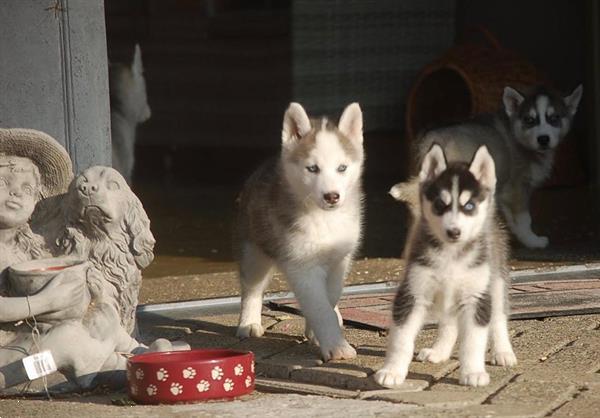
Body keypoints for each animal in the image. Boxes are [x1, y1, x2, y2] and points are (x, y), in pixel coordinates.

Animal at [376, 145, 516, 388]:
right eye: (440, 205)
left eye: (469, 206)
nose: (454, 232)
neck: (451, 255)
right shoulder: (413, 292)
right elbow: (401, 339)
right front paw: (392, 371)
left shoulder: (476, 297)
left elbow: (473, 341)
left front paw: (473, 372)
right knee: (449, 323)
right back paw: (439, 351)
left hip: (496, 281)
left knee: (498, 317)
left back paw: (503, 352)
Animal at [406, 85, 580, 248]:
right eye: (529, 120)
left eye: (554, 118)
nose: (543, 139)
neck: (518, 138)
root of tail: (428, 139)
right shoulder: (517, 189)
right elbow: (525, 219)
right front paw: (532, 240)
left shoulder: (505, 193)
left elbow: (513, 220)